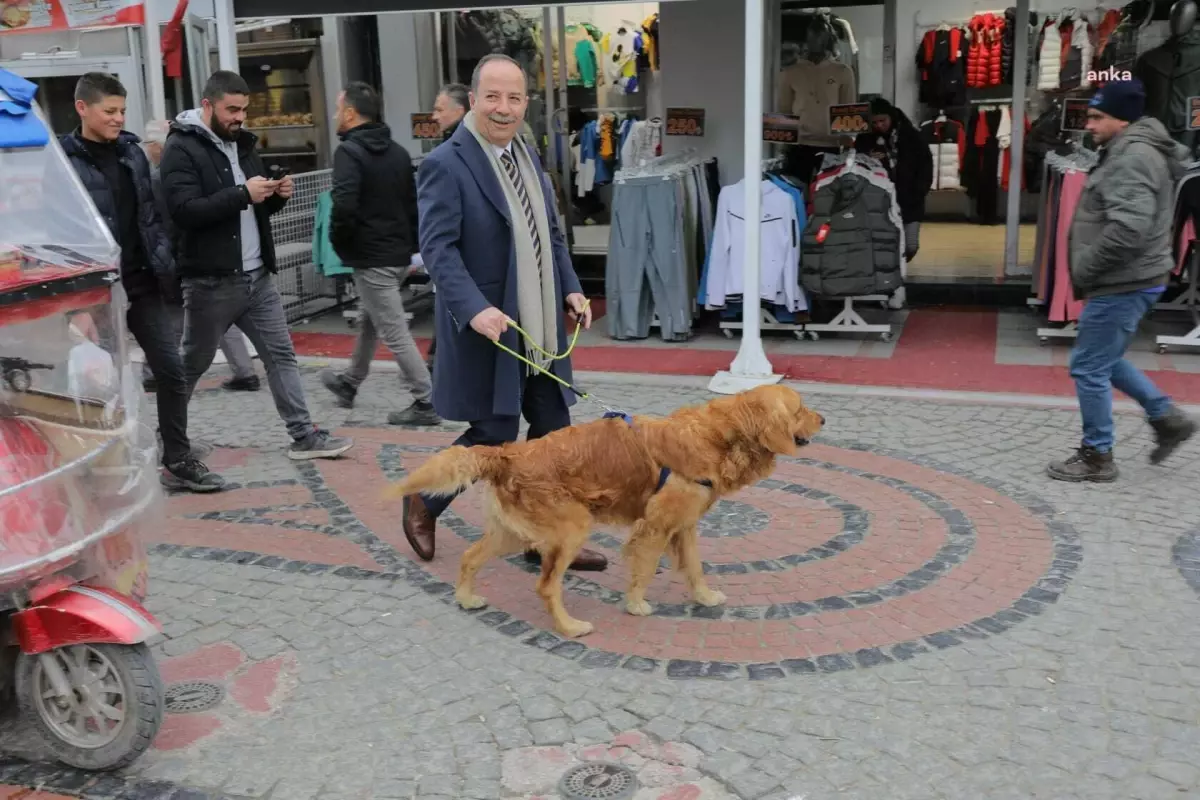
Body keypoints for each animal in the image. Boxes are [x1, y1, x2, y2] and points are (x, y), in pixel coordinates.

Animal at [384, 383, 825, 642]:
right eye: (800, 408)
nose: (823, 418)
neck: (719, 436)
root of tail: (510, 454)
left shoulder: (685, 525)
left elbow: (695, 568)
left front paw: (704, 596)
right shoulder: (656, 527)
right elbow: (644, 569)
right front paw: (636, 605)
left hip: (511, 532)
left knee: (470, 556)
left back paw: (466, 598)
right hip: (572, 527)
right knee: (546, 586)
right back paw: (568, 626)